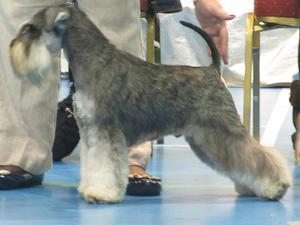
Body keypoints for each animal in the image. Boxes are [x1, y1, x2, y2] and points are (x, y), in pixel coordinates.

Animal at [9, 4, 290, 203]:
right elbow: (93, 164)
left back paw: (276, 186)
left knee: (255, 155)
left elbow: (104, 166)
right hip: (204, 139)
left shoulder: (105, 131)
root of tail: (211, 69)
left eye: (31, 28)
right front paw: (90, 189)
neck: (93, 60)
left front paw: (101, 194)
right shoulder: (91, 132)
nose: (13, 48)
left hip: (220, 130)